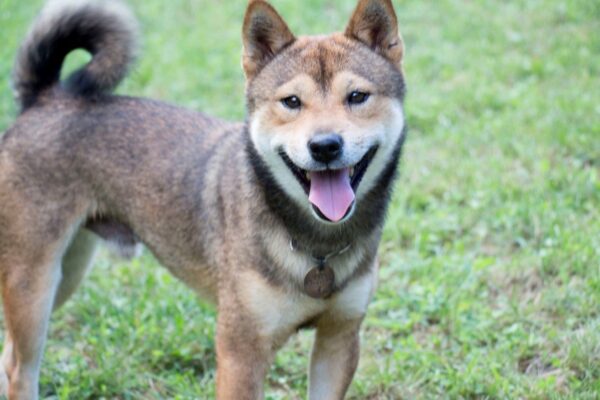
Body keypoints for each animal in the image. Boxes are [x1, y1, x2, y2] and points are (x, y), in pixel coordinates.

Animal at [0, 0, 408, 396]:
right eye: (291, 102)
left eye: (357, 97)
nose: (324, 146)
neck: (317, 244)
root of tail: (45, 100)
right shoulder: (240, 350)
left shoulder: (338, 339)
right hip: (33, 281)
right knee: (21, 371)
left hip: (65, 274)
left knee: (10, 357)